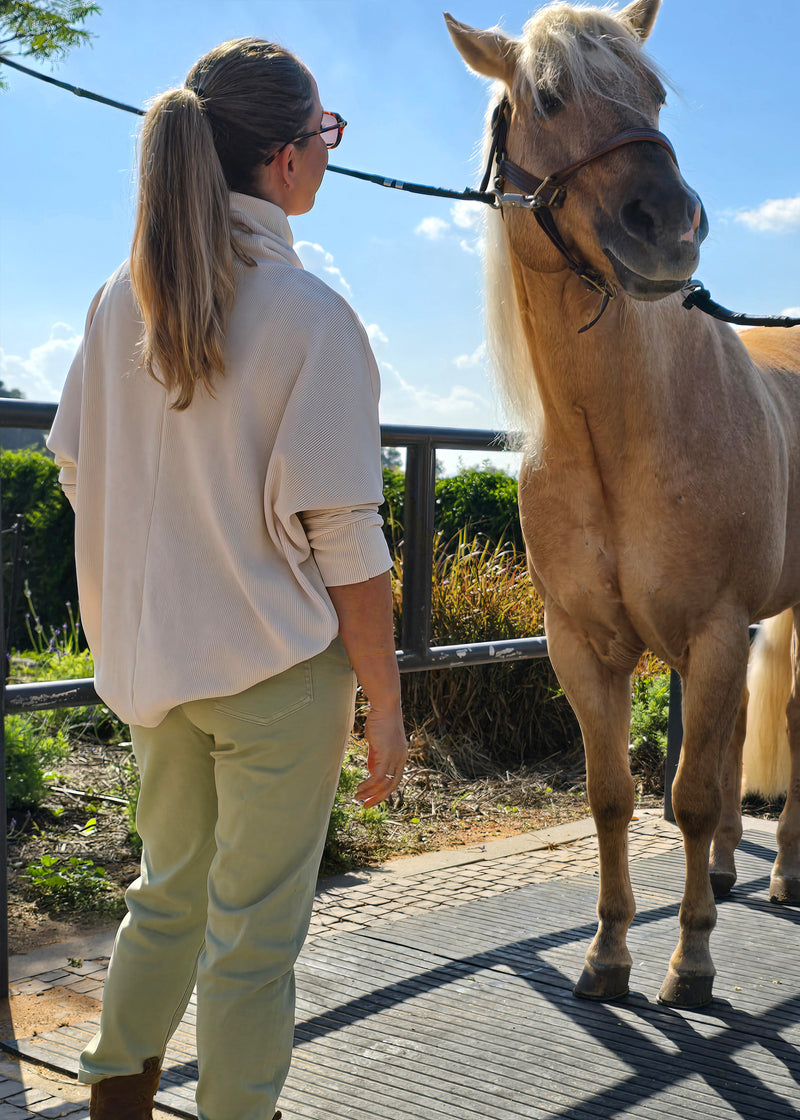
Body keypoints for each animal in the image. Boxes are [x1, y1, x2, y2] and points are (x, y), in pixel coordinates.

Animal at [445, 0, 793, 1012]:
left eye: (654, 93)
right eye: (547, 97)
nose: (669, 226)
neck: (620, 437)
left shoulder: (712, 629)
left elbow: (692, 795)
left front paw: (692, 965)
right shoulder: (582, 645)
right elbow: (614, 796)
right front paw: (606, 956)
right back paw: (726, 872)